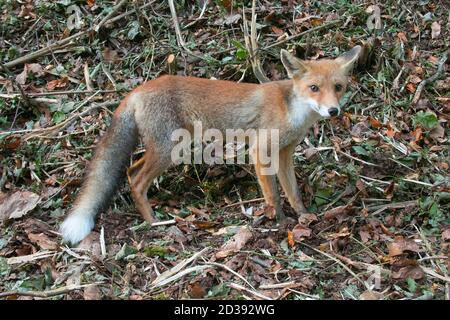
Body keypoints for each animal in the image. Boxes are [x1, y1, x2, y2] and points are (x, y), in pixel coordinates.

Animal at [60, 46, 362, 244]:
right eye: (314, 88)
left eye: (338, 87)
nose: (333, 111)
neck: (292, 112)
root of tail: (136, 90)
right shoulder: (260, 151)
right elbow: (274, 195)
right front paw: (279, 223)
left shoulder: (284, 154)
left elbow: (293, 192)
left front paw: (304, 218)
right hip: (171, 149)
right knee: (136, 180)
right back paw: (154, 222)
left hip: (163, 148)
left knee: (130, 169)